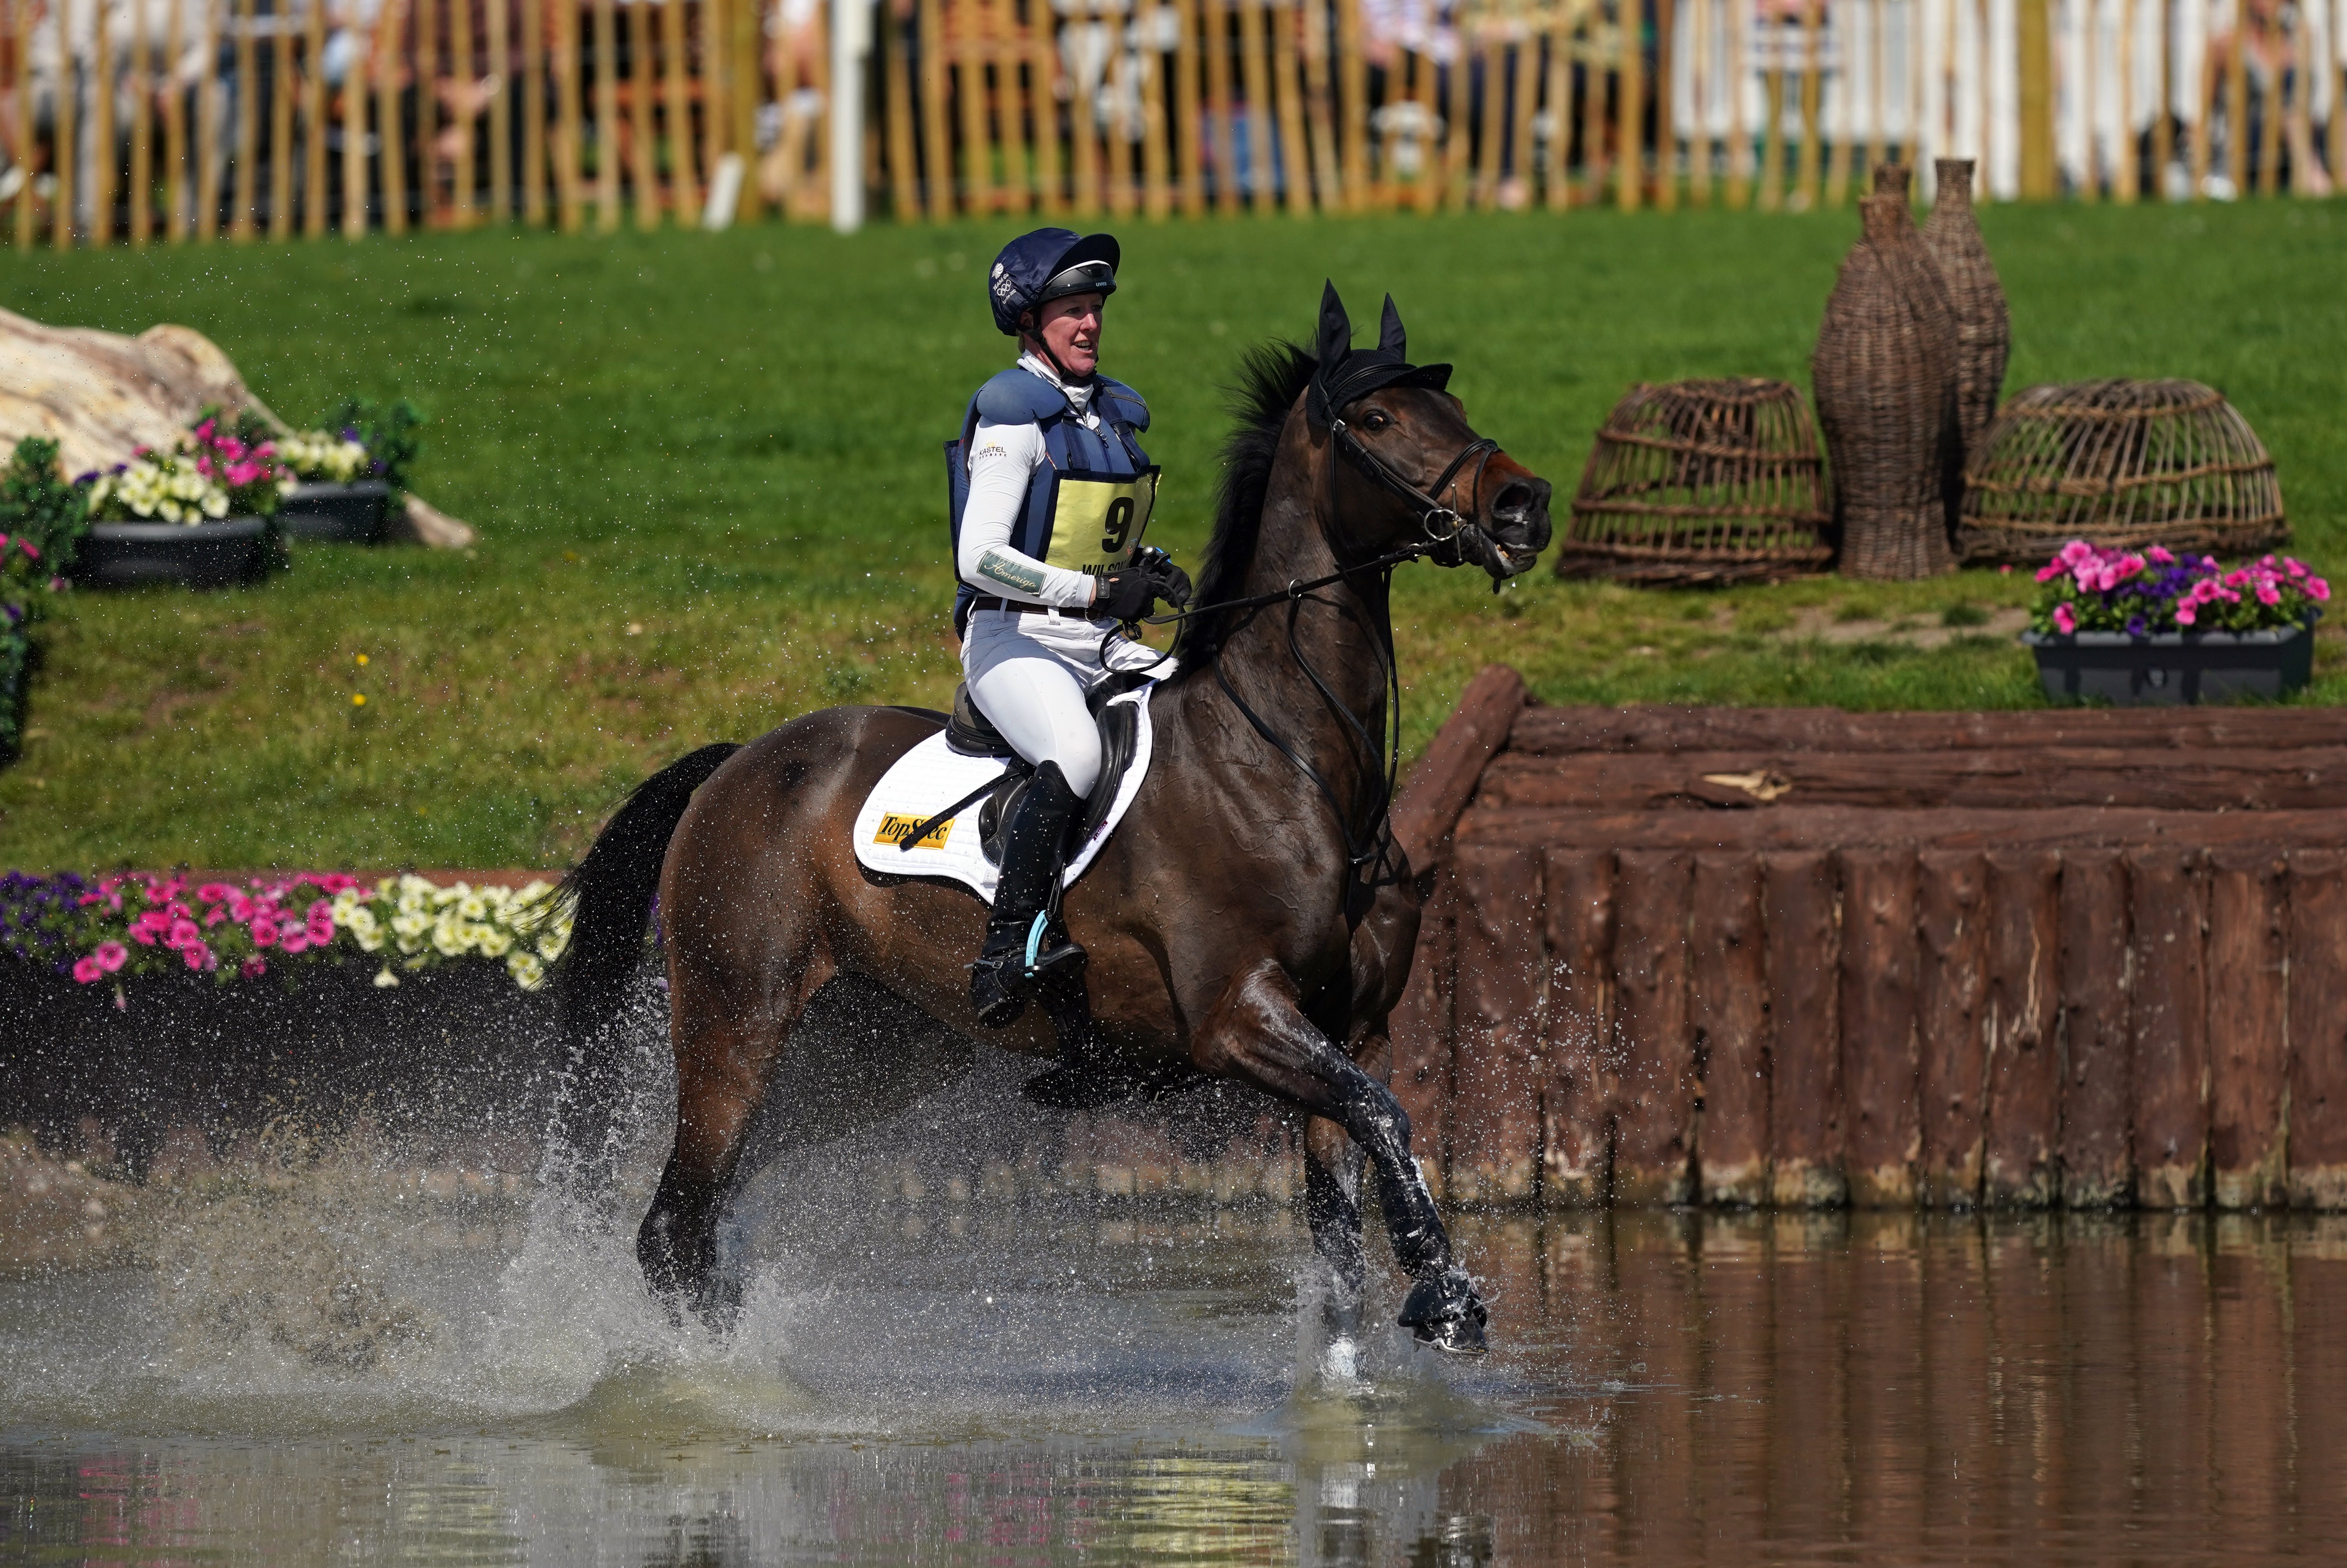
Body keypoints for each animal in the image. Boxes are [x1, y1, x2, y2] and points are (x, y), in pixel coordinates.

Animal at [549, 291, 1558, 1361]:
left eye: (1451, 408)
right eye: (1377, 418)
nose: (1523, 504)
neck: (1293, 762)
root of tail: (738, 761)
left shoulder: (1349, 1031)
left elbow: (1347, 1223)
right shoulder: (1237, 1015)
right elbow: (1388, 1120)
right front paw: (1446, 1291)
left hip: (871, 1049)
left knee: (713, 1205)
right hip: (735, 1018)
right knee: (675, 1219)